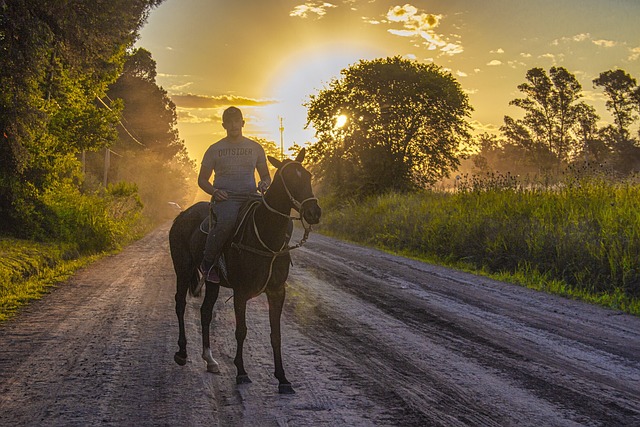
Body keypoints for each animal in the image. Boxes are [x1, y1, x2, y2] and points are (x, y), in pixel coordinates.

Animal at [169, 150, 320, 394]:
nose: (314, 212)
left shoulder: (277, 292)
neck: (266, 234)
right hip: (183, 269)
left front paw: (283, 379)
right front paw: (241, 372)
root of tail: (181, 215)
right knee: (180, 304)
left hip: (212, 282)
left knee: (205, 312)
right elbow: (241, 331)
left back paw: (210, 359)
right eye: (289, 178)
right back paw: (182, 353)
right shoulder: (241, 292)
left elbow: (276, 335)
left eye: (308, 176)